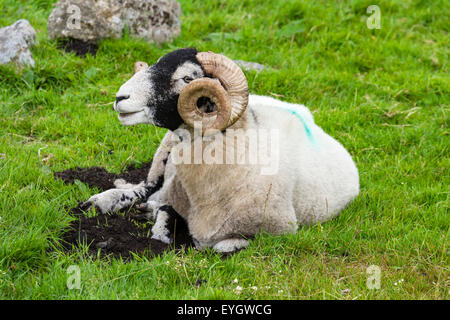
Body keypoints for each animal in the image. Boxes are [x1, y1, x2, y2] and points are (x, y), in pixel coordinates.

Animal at [83, 47, 358, 252]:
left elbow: (218, 245)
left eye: (187, 78)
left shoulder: (276, 231)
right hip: (162, 153)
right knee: (145, 187)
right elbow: (162, 207)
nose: (120, 98)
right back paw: (101, 201)